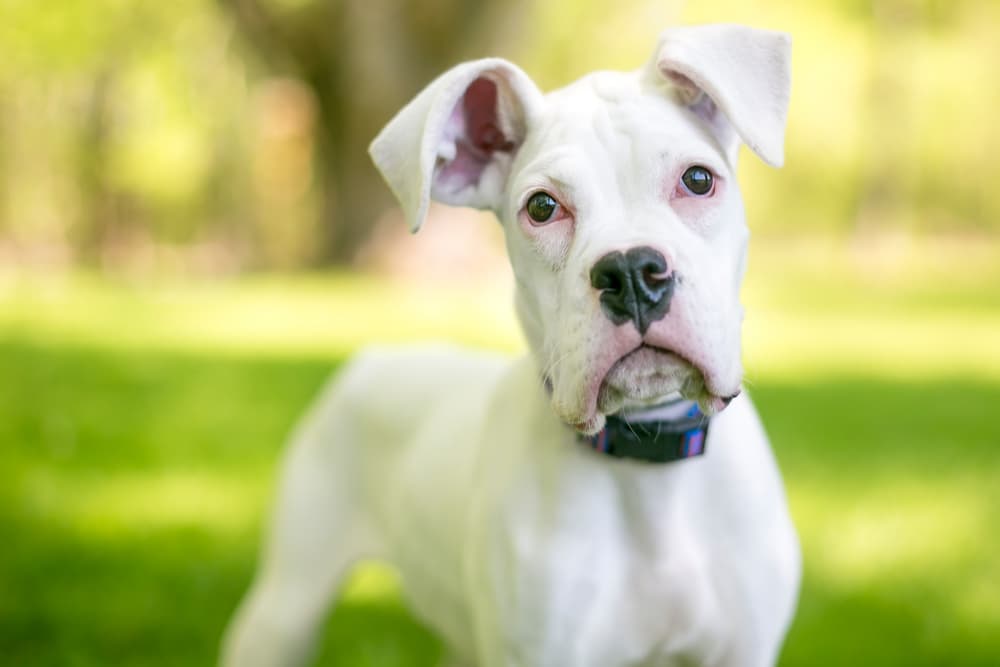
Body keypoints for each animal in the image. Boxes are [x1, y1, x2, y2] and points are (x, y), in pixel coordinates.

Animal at [223, 23, 800, 664]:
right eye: (542, 208)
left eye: (698, 179)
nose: (631, 272)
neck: (646, 467)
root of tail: (380, 357)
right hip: (286, 605)